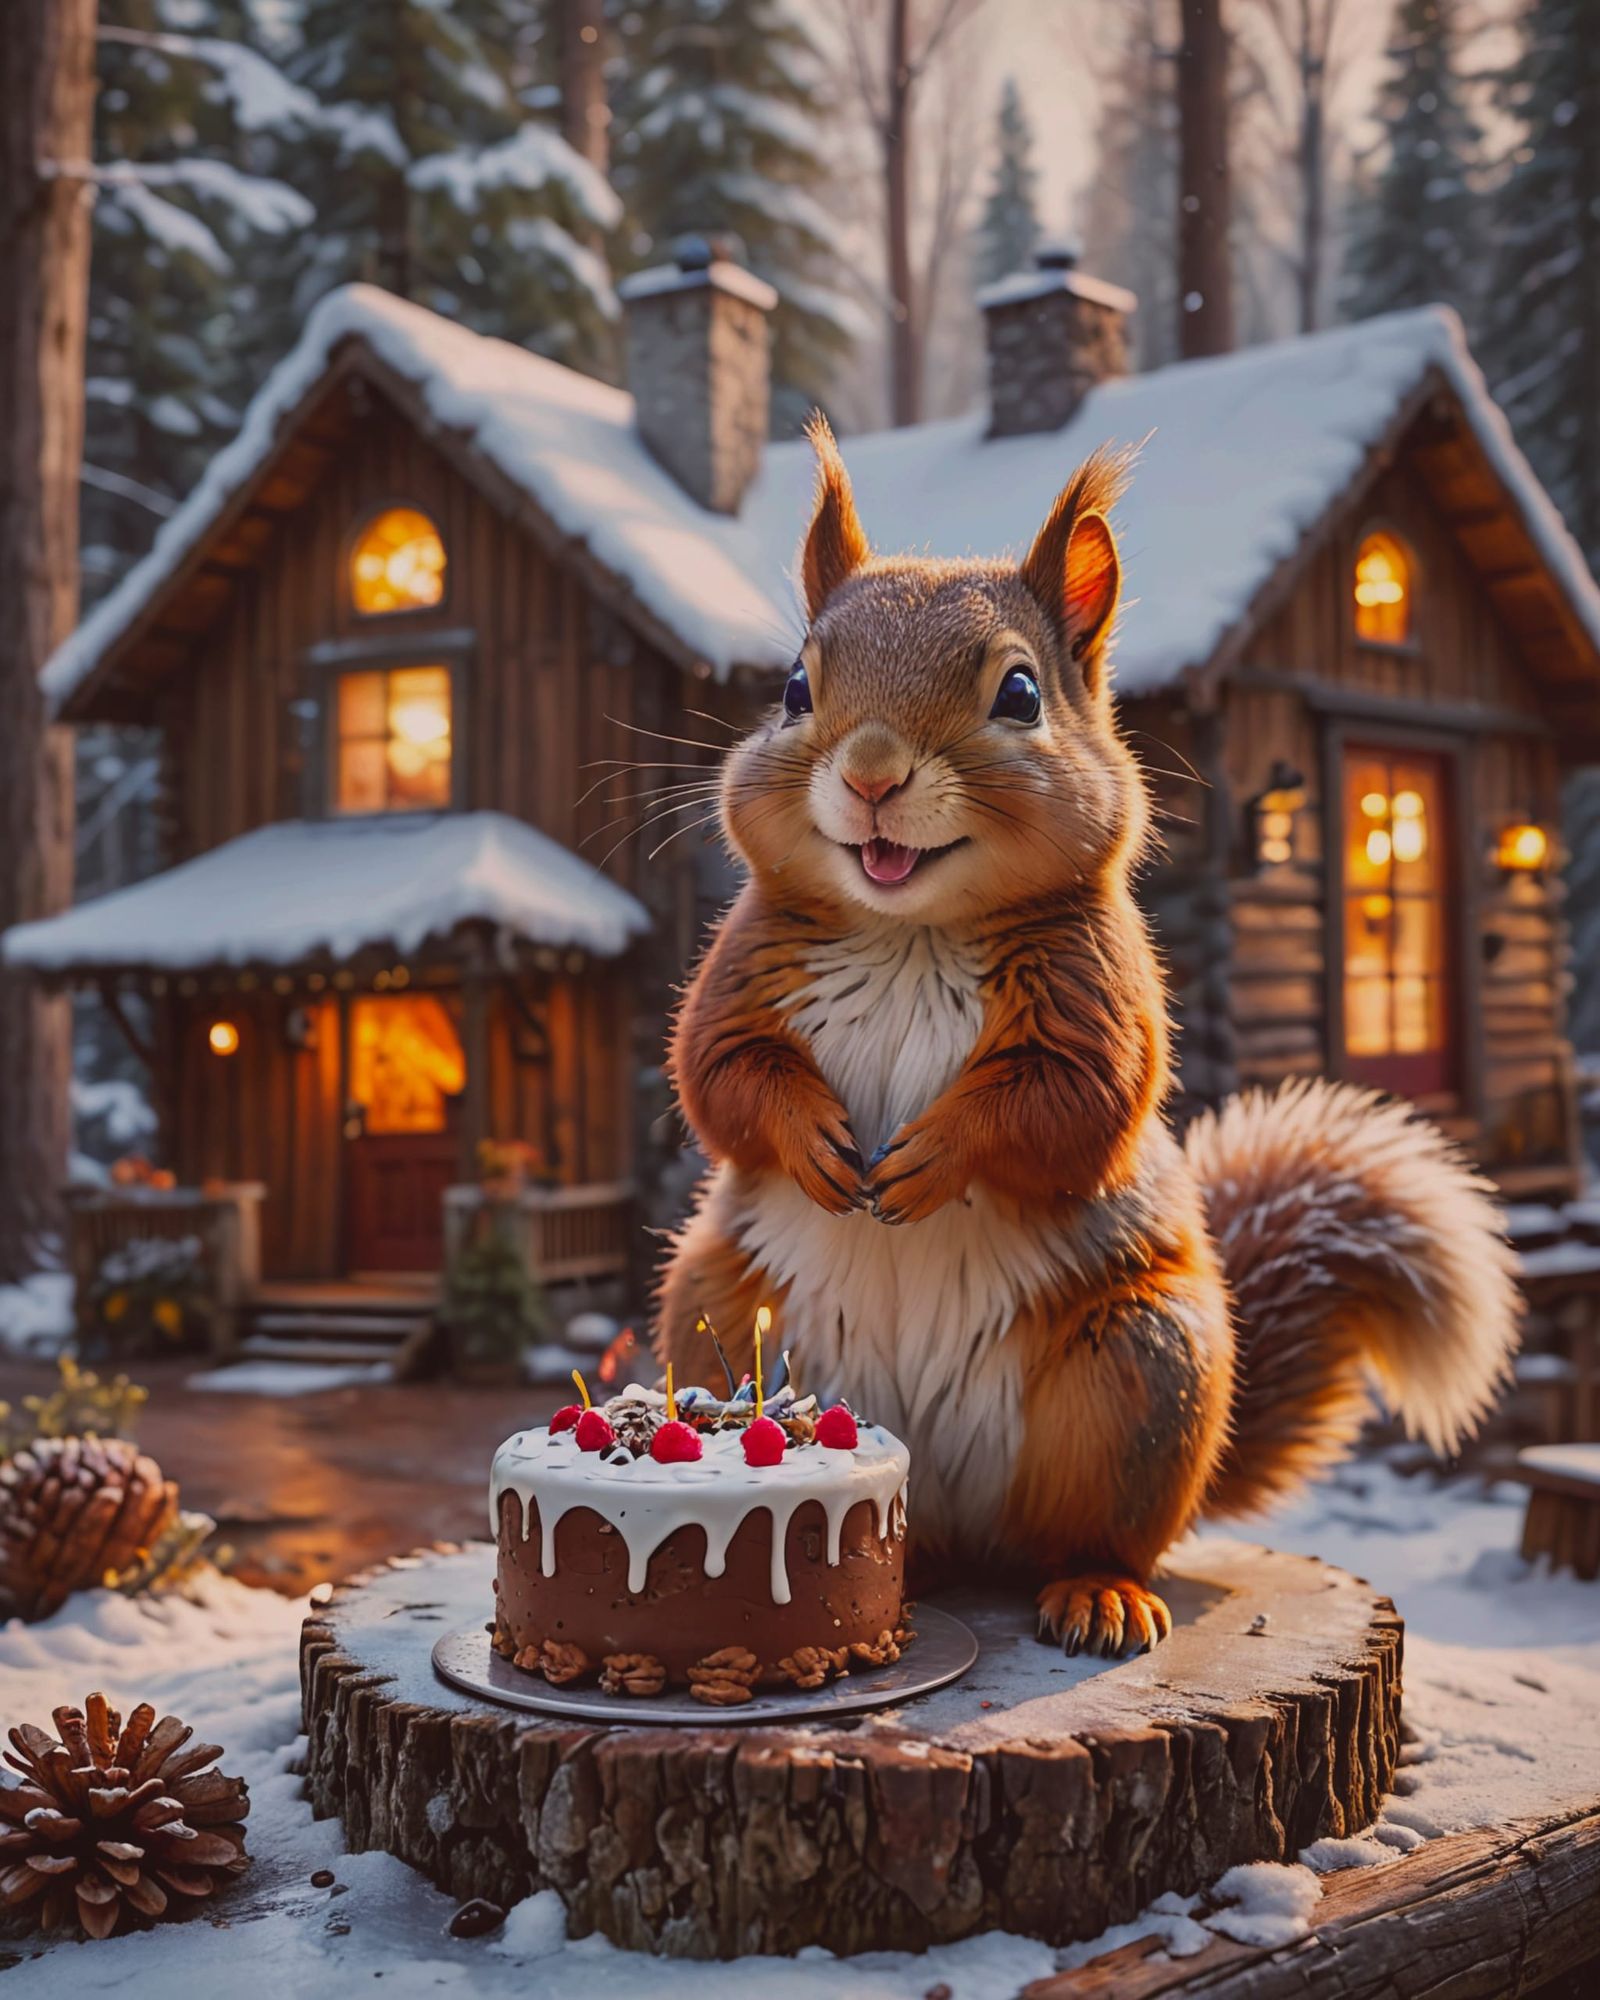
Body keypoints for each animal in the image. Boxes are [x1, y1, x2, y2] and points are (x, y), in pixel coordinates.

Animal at [656, 418, 1521, 1658]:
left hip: (1138, 1374)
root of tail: (949, 1508)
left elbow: (1069, 1103)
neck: (908, 929)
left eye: (1019, 691)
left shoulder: (1098, 999)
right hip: (719, 1306)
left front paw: (932, 1156)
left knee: (1086, 1533)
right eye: (791, 686)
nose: (869, 773)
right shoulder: (739, 977)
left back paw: (1097, 1593)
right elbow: (719, 1075)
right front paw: (815, 1136)